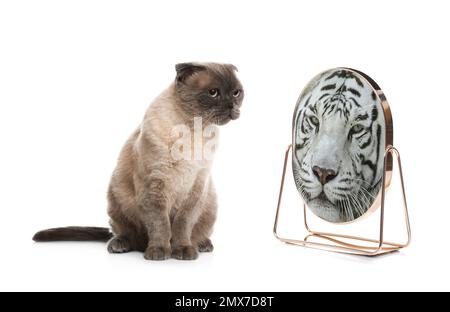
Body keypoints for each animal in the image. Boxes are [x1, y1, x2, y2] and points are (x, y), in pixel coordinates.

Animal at [33, 61, 244, 260]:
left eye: (236, 93)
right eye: (213, 93)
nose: (232, 106)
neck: (194, 131)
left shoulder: (197, 187)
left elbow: (183, 225)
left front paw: (183, 250)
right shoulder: (155, 186)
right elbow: (160, 225)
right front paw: (159, 252)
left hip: (210, 202)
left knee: (195, 233)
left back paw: (202, 244)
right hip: (116, 195)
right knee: (126, 234)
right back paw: (121, 245)